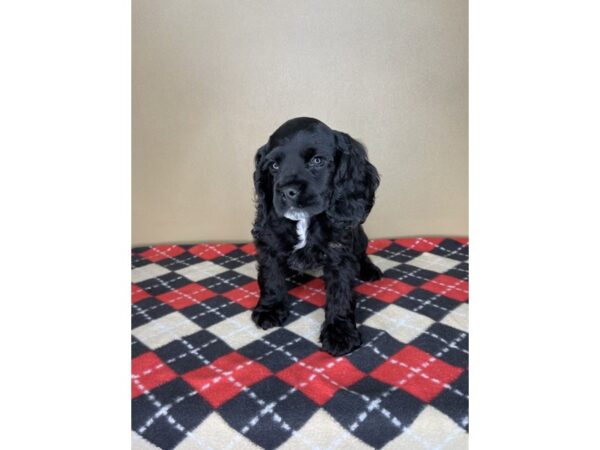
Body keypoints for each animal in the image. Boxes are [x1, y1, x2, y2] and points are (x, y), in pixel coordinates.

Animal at [251, 118, 382, 356]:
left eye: (317, 161)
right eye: (273, 166)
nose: (287, 191)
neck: (304, 221)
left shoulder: (339, 251)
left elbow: (340, 293)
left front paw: (339, 332)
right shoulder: (269, 242)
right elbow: (271, 276)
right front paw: (270, 308)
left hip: (359, 236)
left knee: (362, 254)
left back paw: (369, 270)